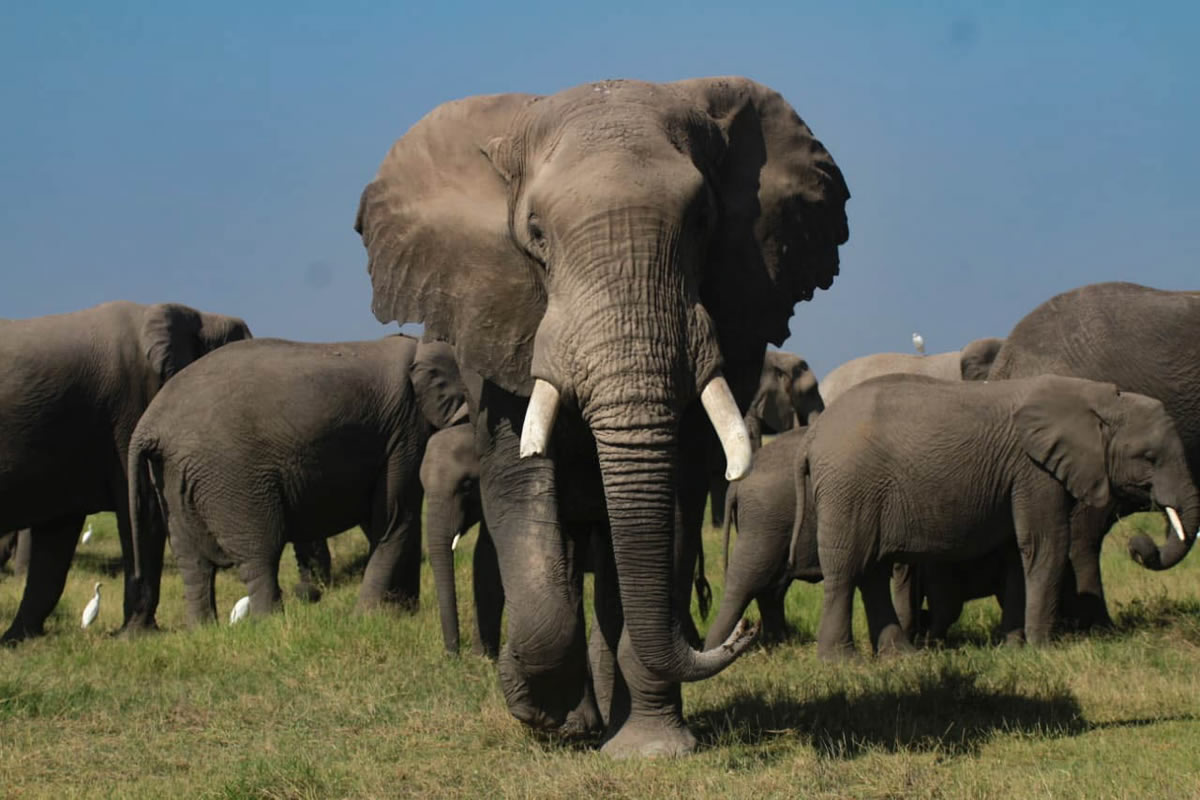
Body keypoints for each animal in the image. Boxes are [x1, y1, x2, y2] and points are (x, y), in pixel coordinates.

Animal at [128, 336, 468, 625]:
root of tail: (150, 423)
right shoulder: (405, 429)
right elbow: (395, 518)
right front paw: (367, 618)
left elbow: (393, 520)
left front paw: (403, 614)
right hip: (230, 476)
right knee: (259, 552)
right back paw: (270, 624)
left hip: (172, 477)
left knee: (192, 562)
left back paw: (203, 630)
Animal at [703, 426, 821, 649]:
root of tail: (736, 484)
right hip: (764, 520)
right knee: (746, 583)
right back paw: (715, 650)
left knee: (769, 585)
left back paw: (780, 644)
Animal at [795, 373, 1198, 660]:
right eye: (1149, 458)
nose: (1139, 545)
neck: (1097, 398)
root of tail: (813, 437)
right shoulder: (1034, 471)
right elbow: (1046, 545)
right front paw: (1042, 649)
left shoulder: (1017, 477)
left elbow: (1017, 553)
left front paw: (1014, 647)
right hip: (848, 488)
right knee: (847, 569)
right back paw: (841, 662)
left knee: (872, 572)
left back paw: (901, 658)